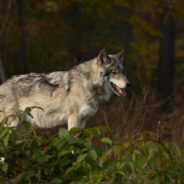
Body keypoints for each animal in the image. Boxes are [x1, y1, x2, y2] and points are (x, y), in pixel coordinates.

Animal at [0, 49, 129, 129]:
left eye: (123, 72)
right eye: (114, 72)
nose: (128, 84)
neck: (87, 83)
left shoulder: (83, 121)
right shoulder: (73, 118)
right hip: (11, 126)